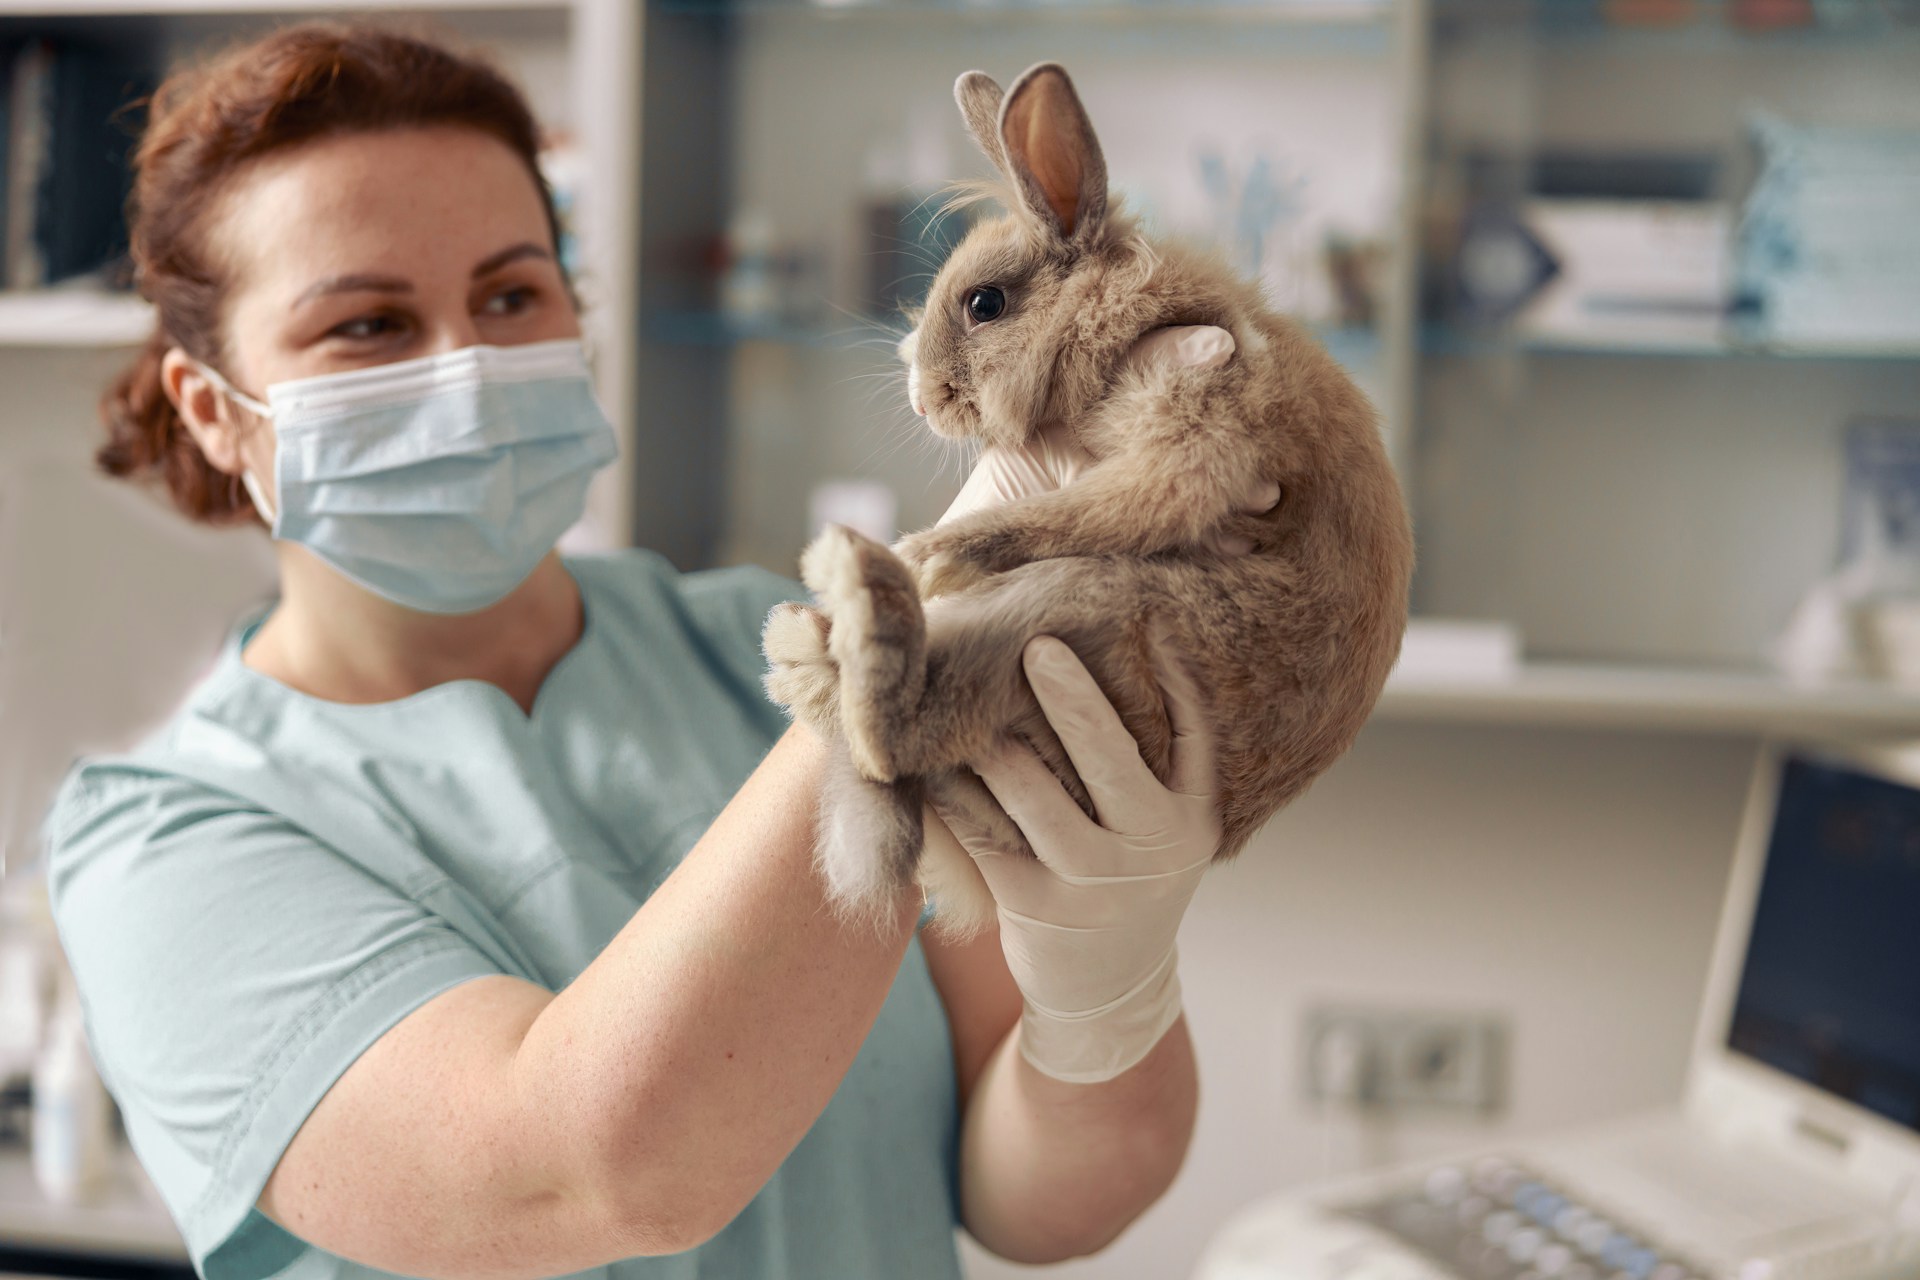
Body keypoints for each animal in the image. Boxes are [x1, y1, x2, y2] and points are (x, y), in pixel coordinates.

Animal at [760, 59, 1413, 936]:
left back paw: (849, 601)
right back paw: (805, 637)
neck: (1122, 313)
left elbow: (1102, 507)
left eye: (985, 304)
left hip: (1085, 610)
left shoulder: (1205, 426)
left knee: (889, 735)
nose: (924, 400)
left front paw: (932, 552)